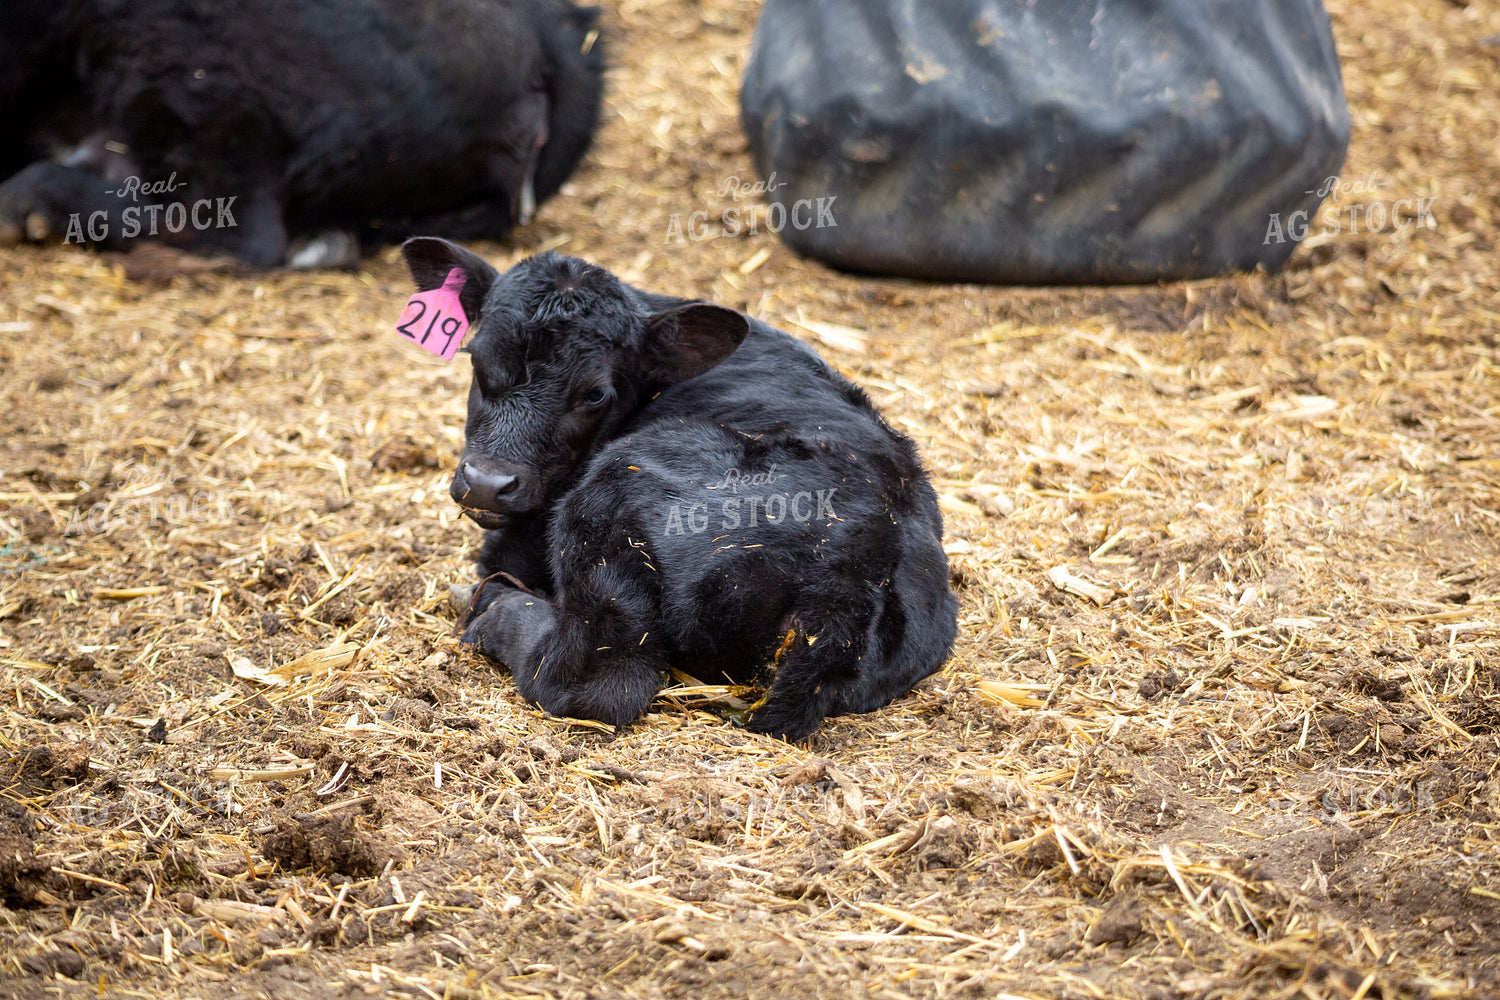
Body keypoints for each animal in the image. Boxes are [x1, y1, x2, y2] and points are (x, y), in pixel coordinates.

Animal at [403, 237, 958, 740]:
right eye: (475, 360)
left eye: (594, 393)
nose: (487, 483)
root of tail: (855, 569)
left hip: (611, 504)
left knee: (595, 679)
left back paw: (492, 610)